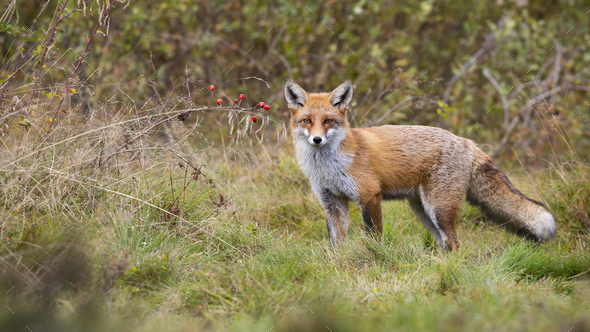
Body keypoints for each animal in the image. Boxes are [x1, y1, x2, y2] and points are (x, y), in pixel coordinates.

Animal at [286, 80, 560, 249]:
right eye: (307, 121)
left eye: (328, 121)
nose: (317, 139)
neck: (328, 167)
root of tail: (468, 142)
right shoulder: (332, 203)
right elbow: (337, 244)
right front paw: (340, 265)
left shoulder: (369, 196)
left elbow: (374, 238)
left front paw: (375, 259)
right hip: (423, 211)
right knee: (444, 243)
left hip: (438, 208)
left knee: (455, 243)